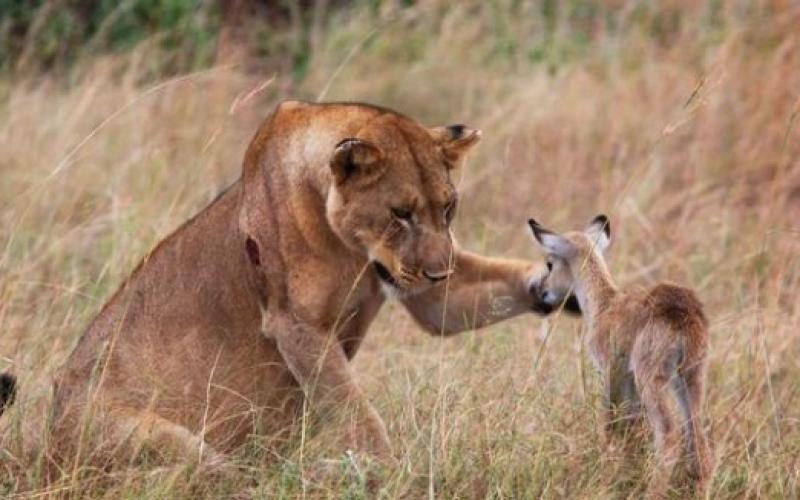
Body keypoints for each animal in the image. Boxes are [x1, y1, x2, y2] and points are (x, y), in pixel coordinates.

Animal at [532, 215, 712, 496]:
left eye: (550, 263)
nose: (540, 291)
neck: (605, 303)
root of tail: (684, 314)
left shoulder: (611, 371)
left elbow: (609, 423)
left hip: (652, 379)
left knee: (669, 437)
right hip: (692, 378)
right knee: (700, 445)